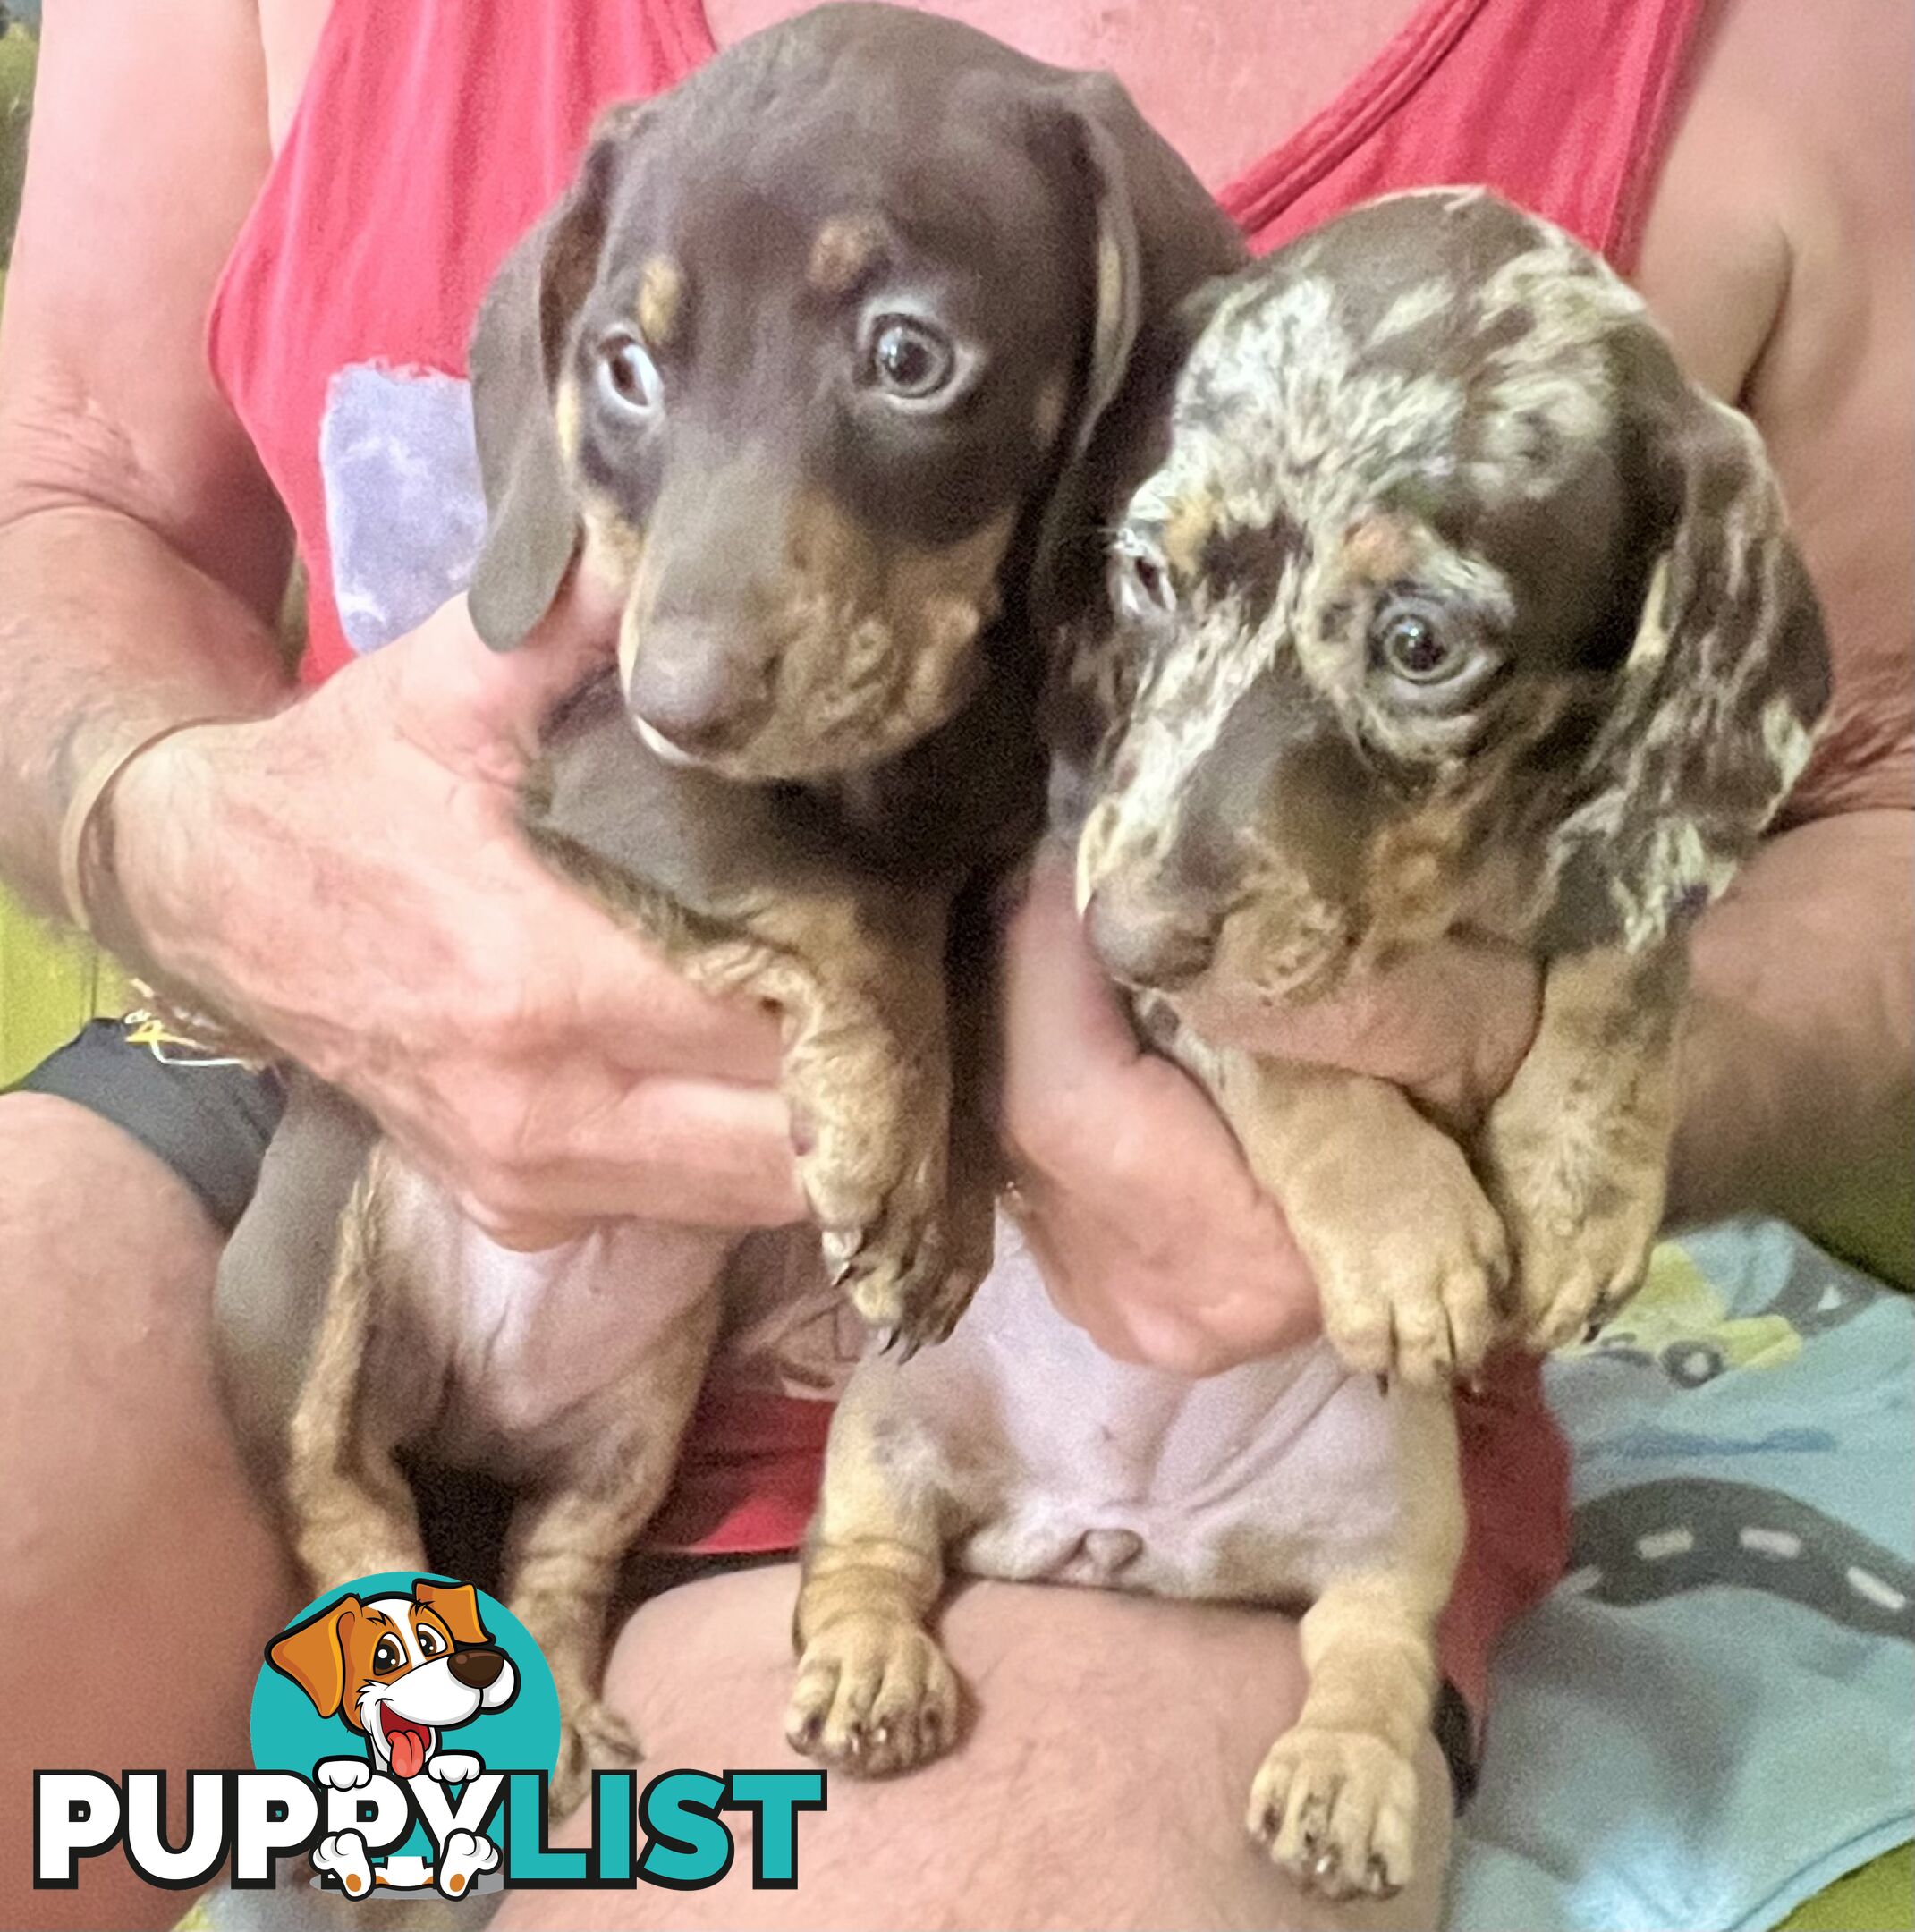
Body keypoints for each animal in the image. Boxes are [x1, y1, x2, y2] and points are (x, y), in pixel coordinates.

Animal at [217, 0, 1251, 1808]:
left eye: (910, 358)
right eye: (624, 370)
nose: (681, 697)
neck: (923, 740)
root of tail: (473, 1420)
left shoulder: (993, 843)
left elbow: (960, 950)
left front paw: (945, 1182)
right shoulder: (605, 783)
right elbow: (840, 894)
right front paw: (892, 1152)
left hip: (633, 1422)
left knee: (557, 1560)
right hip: (304, 1288)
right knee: (351, 1525)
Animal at [784, 191, 1832, 1901]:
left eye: (1419, 644)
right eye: (1147, 573)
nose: (1126, 937)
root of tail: (1122, 1534)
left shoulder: (1610, 854)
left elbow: (1631, 948)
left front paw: (1580, 1176)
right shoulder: (1098, 859)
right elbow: (1269, 1047)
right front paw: (1405, 1227)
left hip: (1402, 1511)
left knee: (1368, 1649)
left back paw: (1345, 1777)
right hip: (891, 1426)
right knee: (869, 1551)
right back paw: (874, 1669)